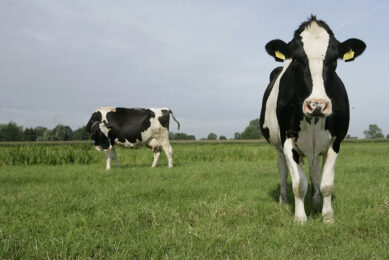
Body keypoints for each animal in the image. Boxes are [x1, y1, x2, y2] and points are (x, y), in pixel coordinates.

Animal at [260, 16, 366, 223]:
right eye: (296, 60)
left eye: (333, 61)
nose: (317, 105)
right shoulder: (287, 139)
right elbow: (298, 184)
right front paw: (300, 218)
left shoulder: (335, 141)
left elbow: (326, 183)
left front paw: (327, 216)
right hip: (278, 145)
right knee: (283, 170)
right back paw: (283, 199)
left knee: (314, 171)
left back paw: (316, 200)